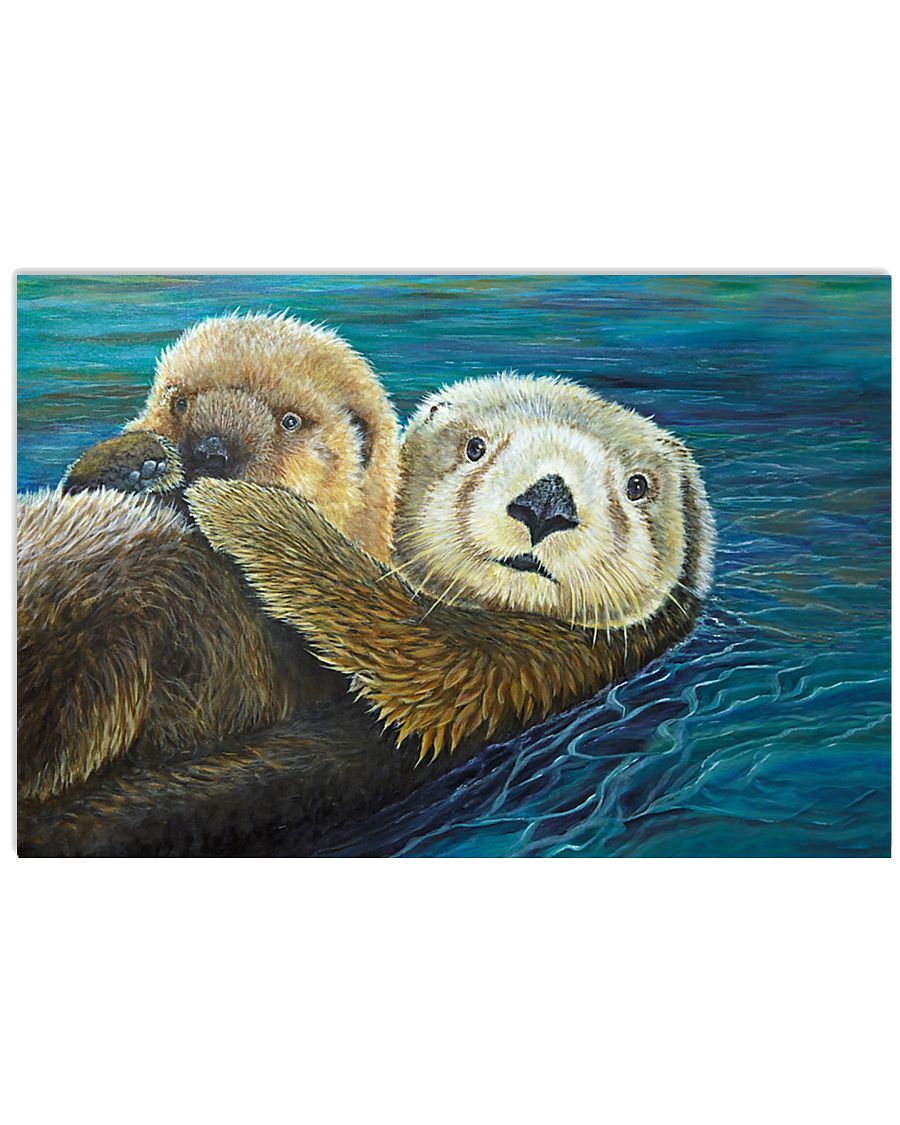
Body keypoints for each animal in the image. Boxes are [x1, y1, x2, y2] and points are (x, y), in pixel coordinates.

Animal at [19, 374, 714, 856]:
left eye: (638, 486)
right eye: (476, 447)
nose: (546, 502)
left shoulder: (516, 669)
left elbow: (396, 642)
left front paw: (246, 507)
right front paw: (138, 459)